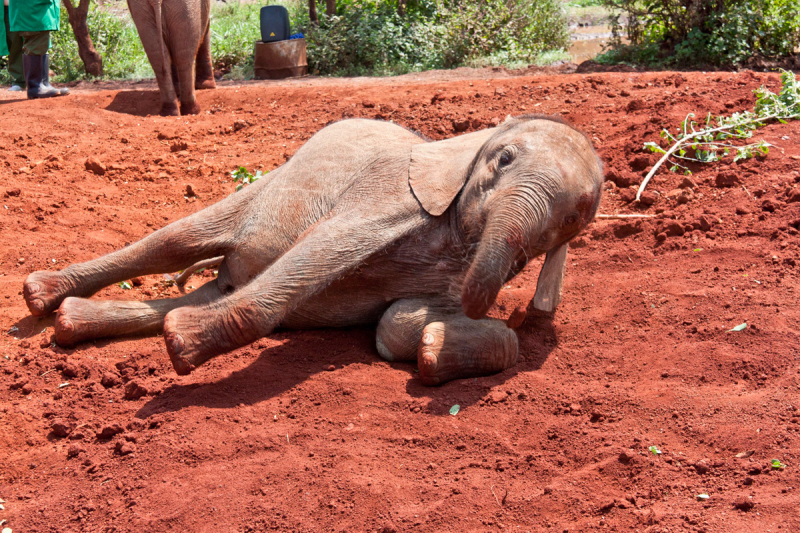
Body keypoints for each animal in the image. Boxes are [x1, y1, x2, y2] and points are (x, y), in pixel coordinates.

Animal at [21, 115, 604, 382]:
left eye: (573, 218)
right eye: (502, 159)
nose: (512, 314)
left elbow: (395, 322)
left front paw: (436, 345)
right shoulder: (389, 194)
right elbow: (323, 248)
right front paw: (183, 346)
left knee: (202, 289)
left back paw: (73, 321)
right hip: (269, 186)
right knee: (174, 243)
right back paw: (42, 296)